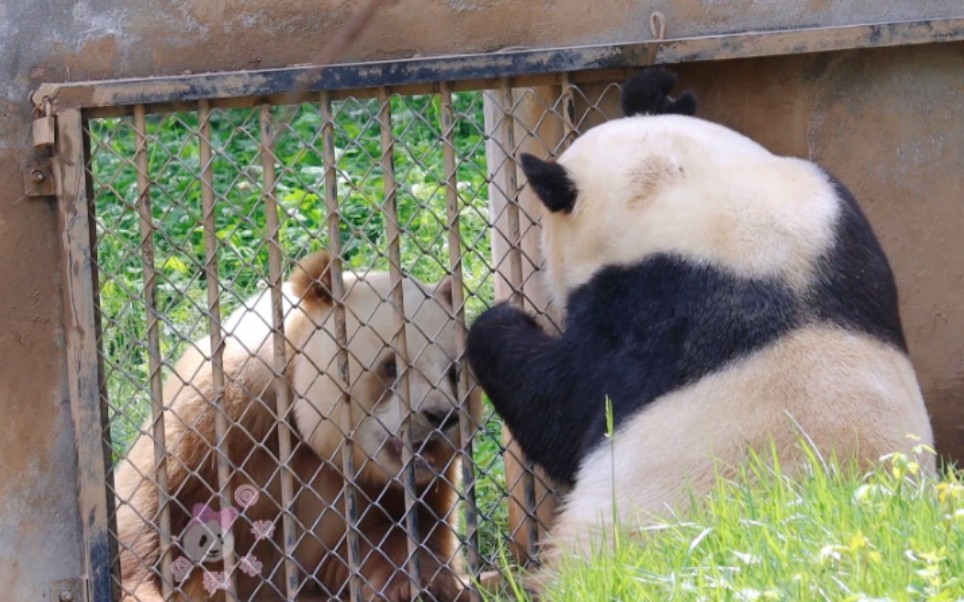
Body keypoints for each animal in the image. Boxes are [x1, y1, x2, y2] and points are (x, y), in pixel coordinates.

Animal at [115, 246, 476, 596]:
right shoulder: (223, 412)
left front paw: (420, 586)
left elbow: (400, 536)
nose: (441, 416)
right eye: (391, 366)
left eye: (454, 372)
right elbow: (150, 521)